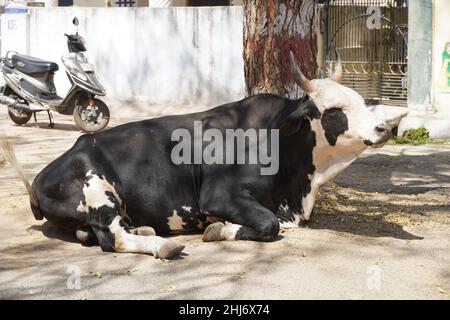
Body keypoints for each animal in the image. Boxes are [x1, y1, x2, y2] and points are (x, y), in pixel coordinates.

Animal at [0, 54, 390, 260]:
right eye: (335, 110)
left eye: (360, 101)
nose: (385, 127)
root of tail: (40, 178)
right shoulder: (218, 197)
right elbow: (268, 226)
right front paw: (218, 229)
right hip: (96, 186)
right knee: (113, 238)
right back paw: (164, 245)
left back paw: (145, 227)